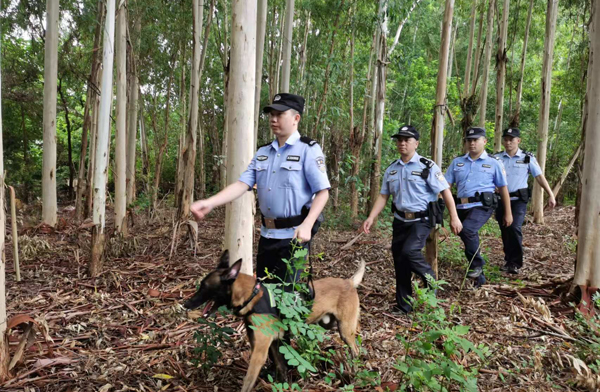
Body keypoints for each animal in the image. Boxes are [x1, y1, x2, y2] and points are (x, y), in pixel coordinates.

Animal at [183, 251, 366, 392]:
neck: (252, 296)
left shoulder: (259, 353)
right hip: (329, 324)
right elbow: (281, 368)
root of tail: (349, 282)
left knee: (356, 349)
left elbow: (248, 382)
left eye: (204, 287)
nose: (185, 304)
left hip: (345, 330)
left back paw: (354, 373)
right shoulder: (273, 344)